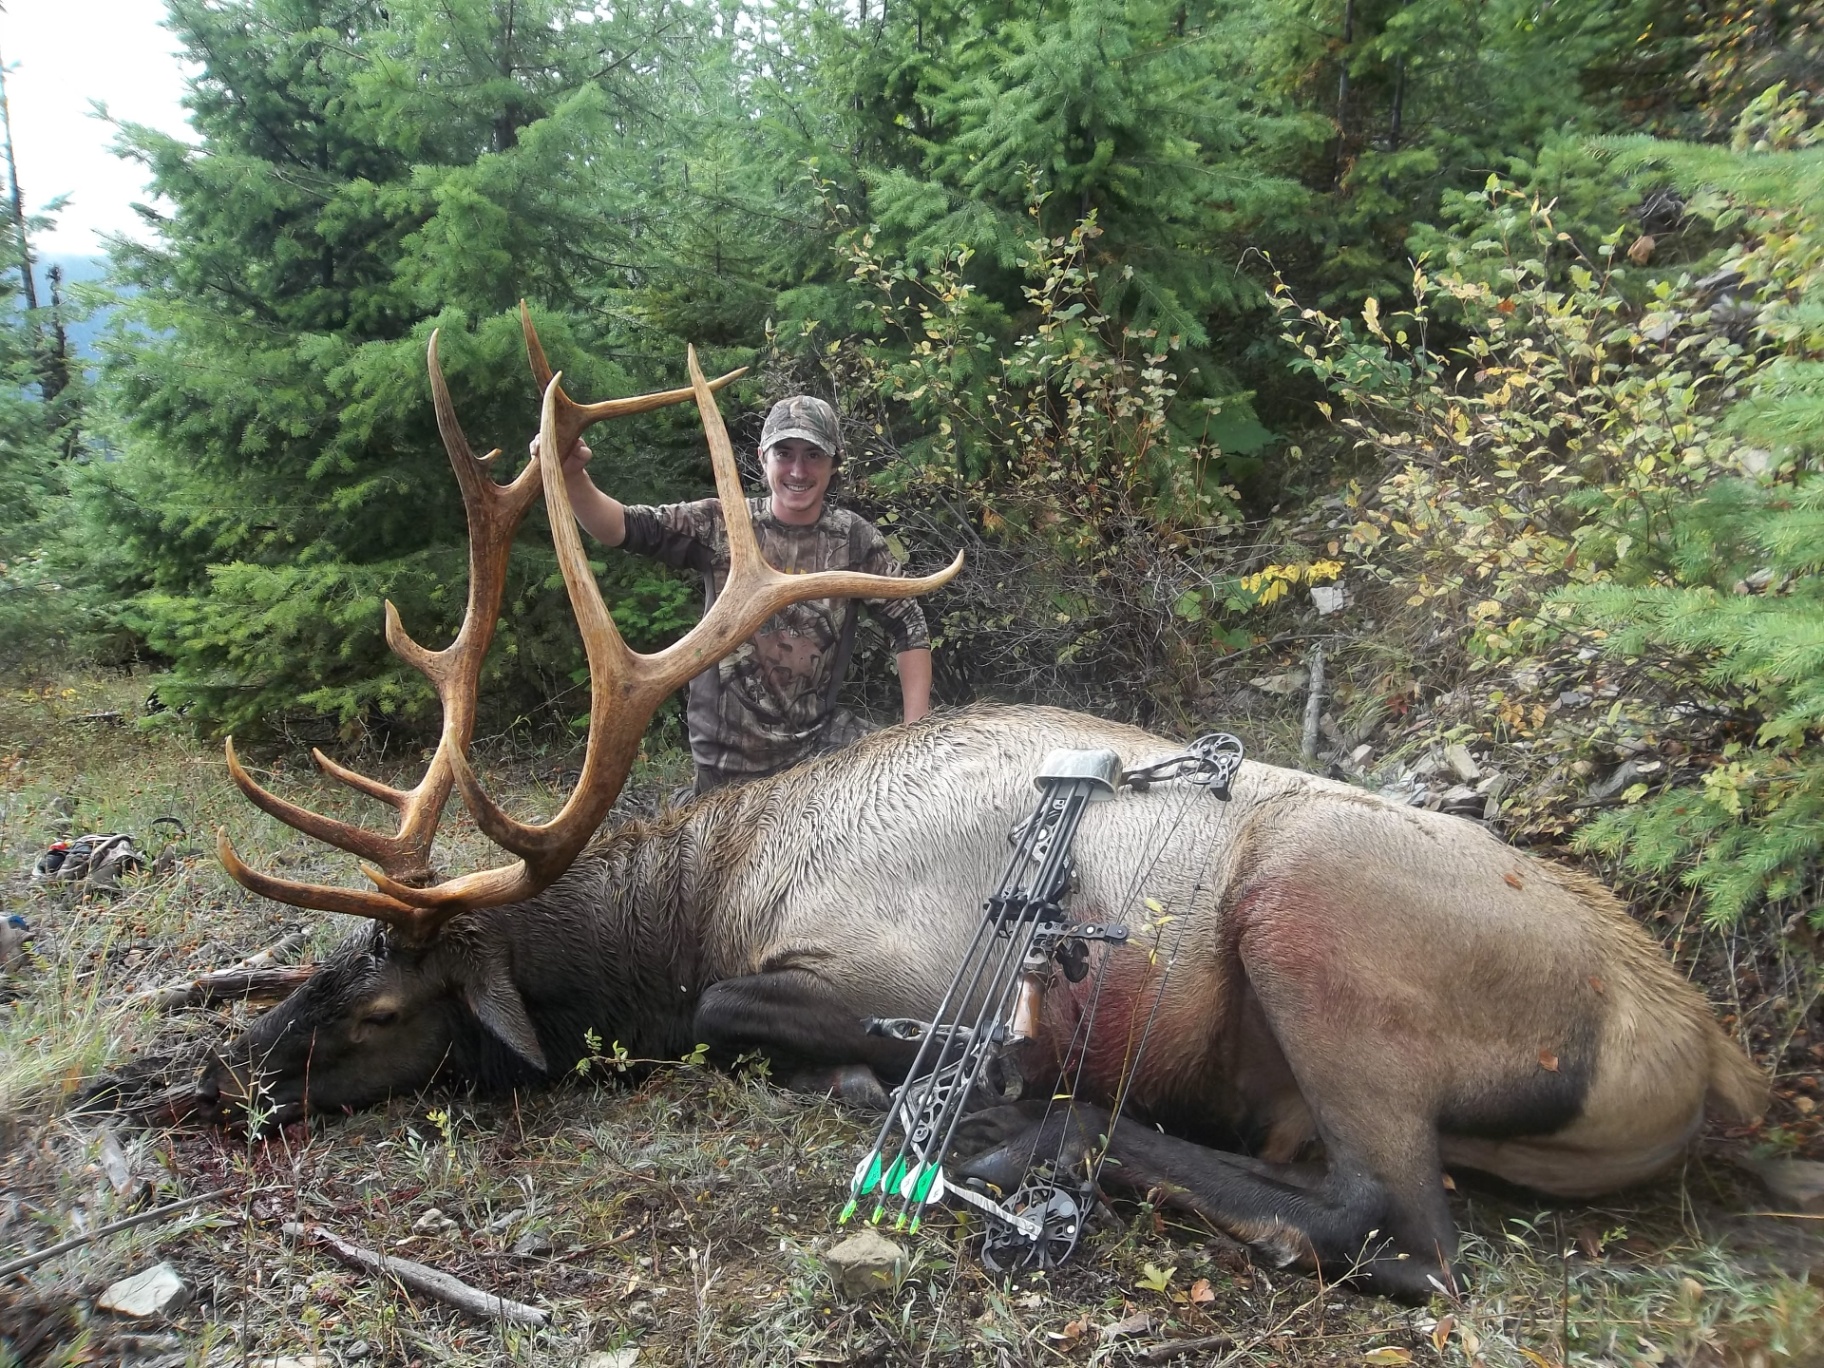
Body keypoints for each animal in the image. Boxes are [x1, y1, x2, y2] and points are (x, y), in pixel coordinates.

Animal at [195, 314, 1767, 1300]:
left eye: (383, 1003)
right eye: (326, 964)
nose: (223, 1083)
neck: (700, 899)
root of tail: (1710, 1055)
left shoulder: (865, 965)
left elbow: (728, 1013)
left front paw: (924, 1082)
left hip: (1315, 921)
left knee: (1401, 1231)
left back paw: (1035, 1134)